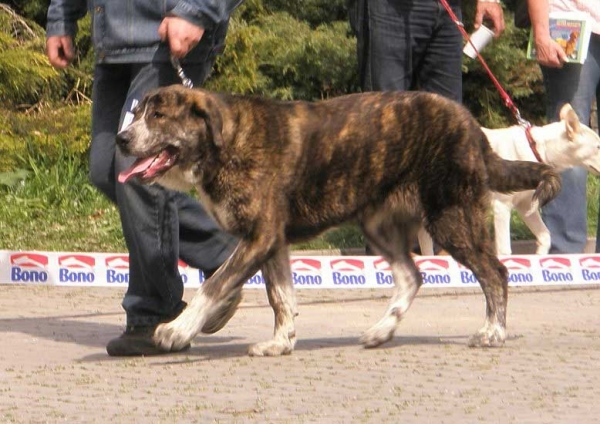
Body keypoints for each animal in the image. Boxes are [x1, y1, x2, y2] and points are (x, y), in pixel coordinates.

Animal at [118, 87, 564, 358]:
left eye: (159, 115)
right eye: (136, 113)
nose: (121, 139)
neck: (224, 142)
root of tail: (472, 127)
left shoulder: (259, 237)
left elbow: (214, 285)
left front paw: (177, 330)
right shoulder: (271, 242)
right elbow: (281, 298)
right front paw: (280, 343)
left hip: (451, 219)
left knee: (495, 272)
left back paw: (493, 333)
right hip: (379, 225)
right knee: (411, 276)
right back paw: (382, 331)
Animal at [420, 103, 600, 255]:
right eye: (598, 146)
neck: (536, 149)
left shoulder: (525, 206)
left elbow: (545, 236)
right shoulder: (502, 207)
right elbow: (505, 250)